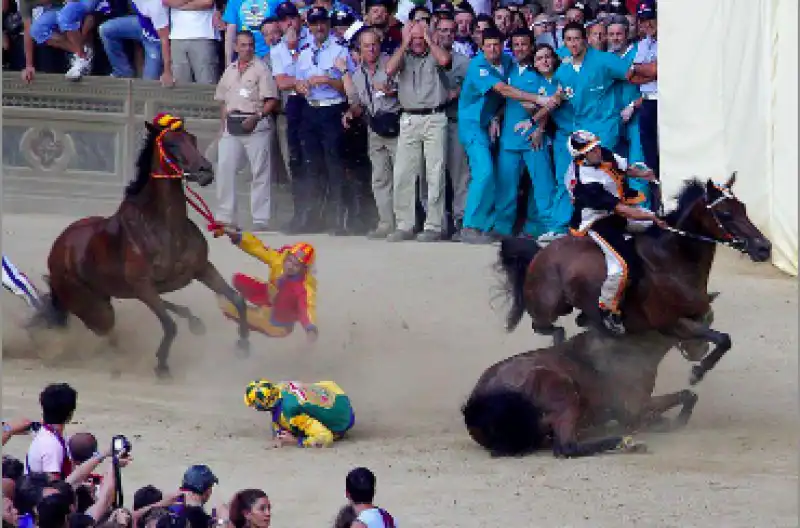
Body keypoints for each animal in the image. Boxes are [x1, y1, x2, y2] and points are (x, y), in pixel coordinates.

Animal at [34, 112, 250, 376]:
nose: (205, 171)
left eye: (193, 139)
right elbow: (169, 325)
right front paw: (162, 365)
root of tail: (58, 248)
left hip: (106, 295)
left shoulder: (201, 269)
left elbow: (237, 299)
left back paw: (194, 323)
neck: (164, 229)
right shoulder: (143, 285)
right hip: (91, 305)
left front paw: (243, 346)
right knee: (109, 332)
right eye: (171, 144)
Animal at [462, 330, 700, 458]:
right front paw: (676, 421)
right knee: (567, 447)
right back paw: (624, 442)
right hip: (565, 394)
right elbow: (687, 396)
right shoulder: (635, 405)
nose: (700, 349)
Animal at [496, 175, 772, 386]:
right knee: (548, 328)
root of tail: (540, 253)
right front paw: (696, 373)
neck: (673, 259)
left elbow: (718, 334)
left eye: (743, 208)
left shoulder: (696, 315)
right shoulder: (671, 322)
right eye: (724, 214)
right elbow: (723, 339)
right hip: (549, 308)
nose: (764, 248)